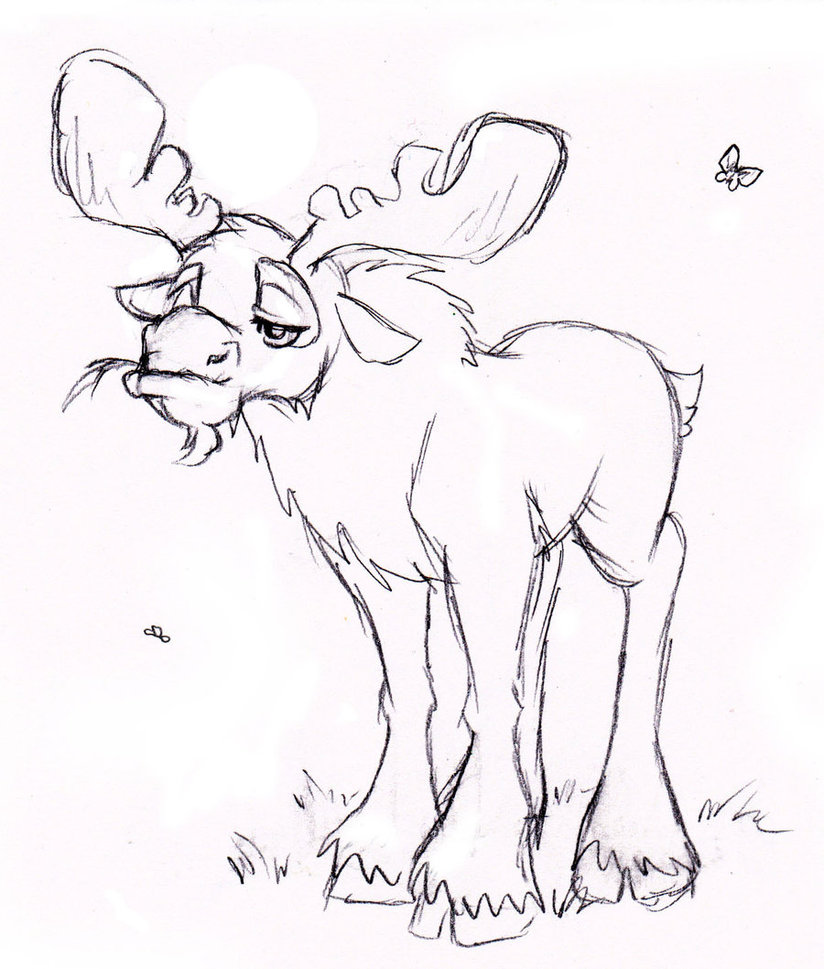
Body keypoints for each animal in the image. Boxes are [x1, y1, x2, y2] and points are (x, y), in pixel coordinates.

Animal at [53, 50, 702, 946]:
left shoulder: (482, 554)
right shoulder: (375, 565)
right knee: (540, 644)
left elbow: (488, 695)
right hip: (547, 546)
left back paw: (634, 853)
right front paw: (381, 855)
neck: (379, 455)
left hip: (621, 525)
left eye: (277, 322)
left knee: (662, 570)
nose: (169, 361)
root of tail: (663, 370)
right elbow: (416, 689)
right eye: (178, 296)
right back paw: (544, 821)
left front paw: (476, 884)